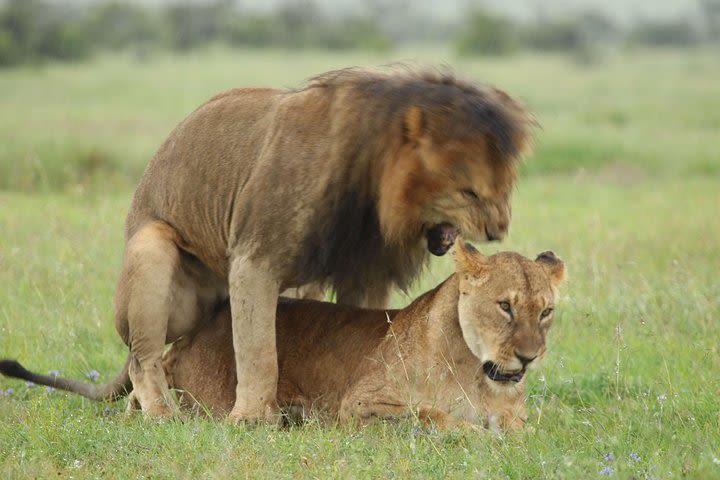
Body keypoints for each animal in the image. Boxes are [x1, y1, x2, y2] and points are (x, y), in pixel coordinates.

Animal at [0, 244, 564, 432]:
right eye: (504, 305)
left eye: (546, 312)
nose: (531, 358)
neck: (476, 369)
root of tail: (196, 332)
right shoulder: (359, 405)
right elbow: (436, 417)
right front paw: (475, 434)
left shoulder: (518, 416)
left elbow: (515, 430)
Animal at [8, 66, 536, 420]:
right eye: (470, 192)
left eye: (506, 187)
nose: (499, 230)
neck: (370, 182)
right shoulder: (253, 259)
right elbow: (258, 349)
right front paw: (251, 419)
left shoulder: (364, 271)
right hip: (154, 249)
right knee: (144, 357)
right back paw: (160, 413)